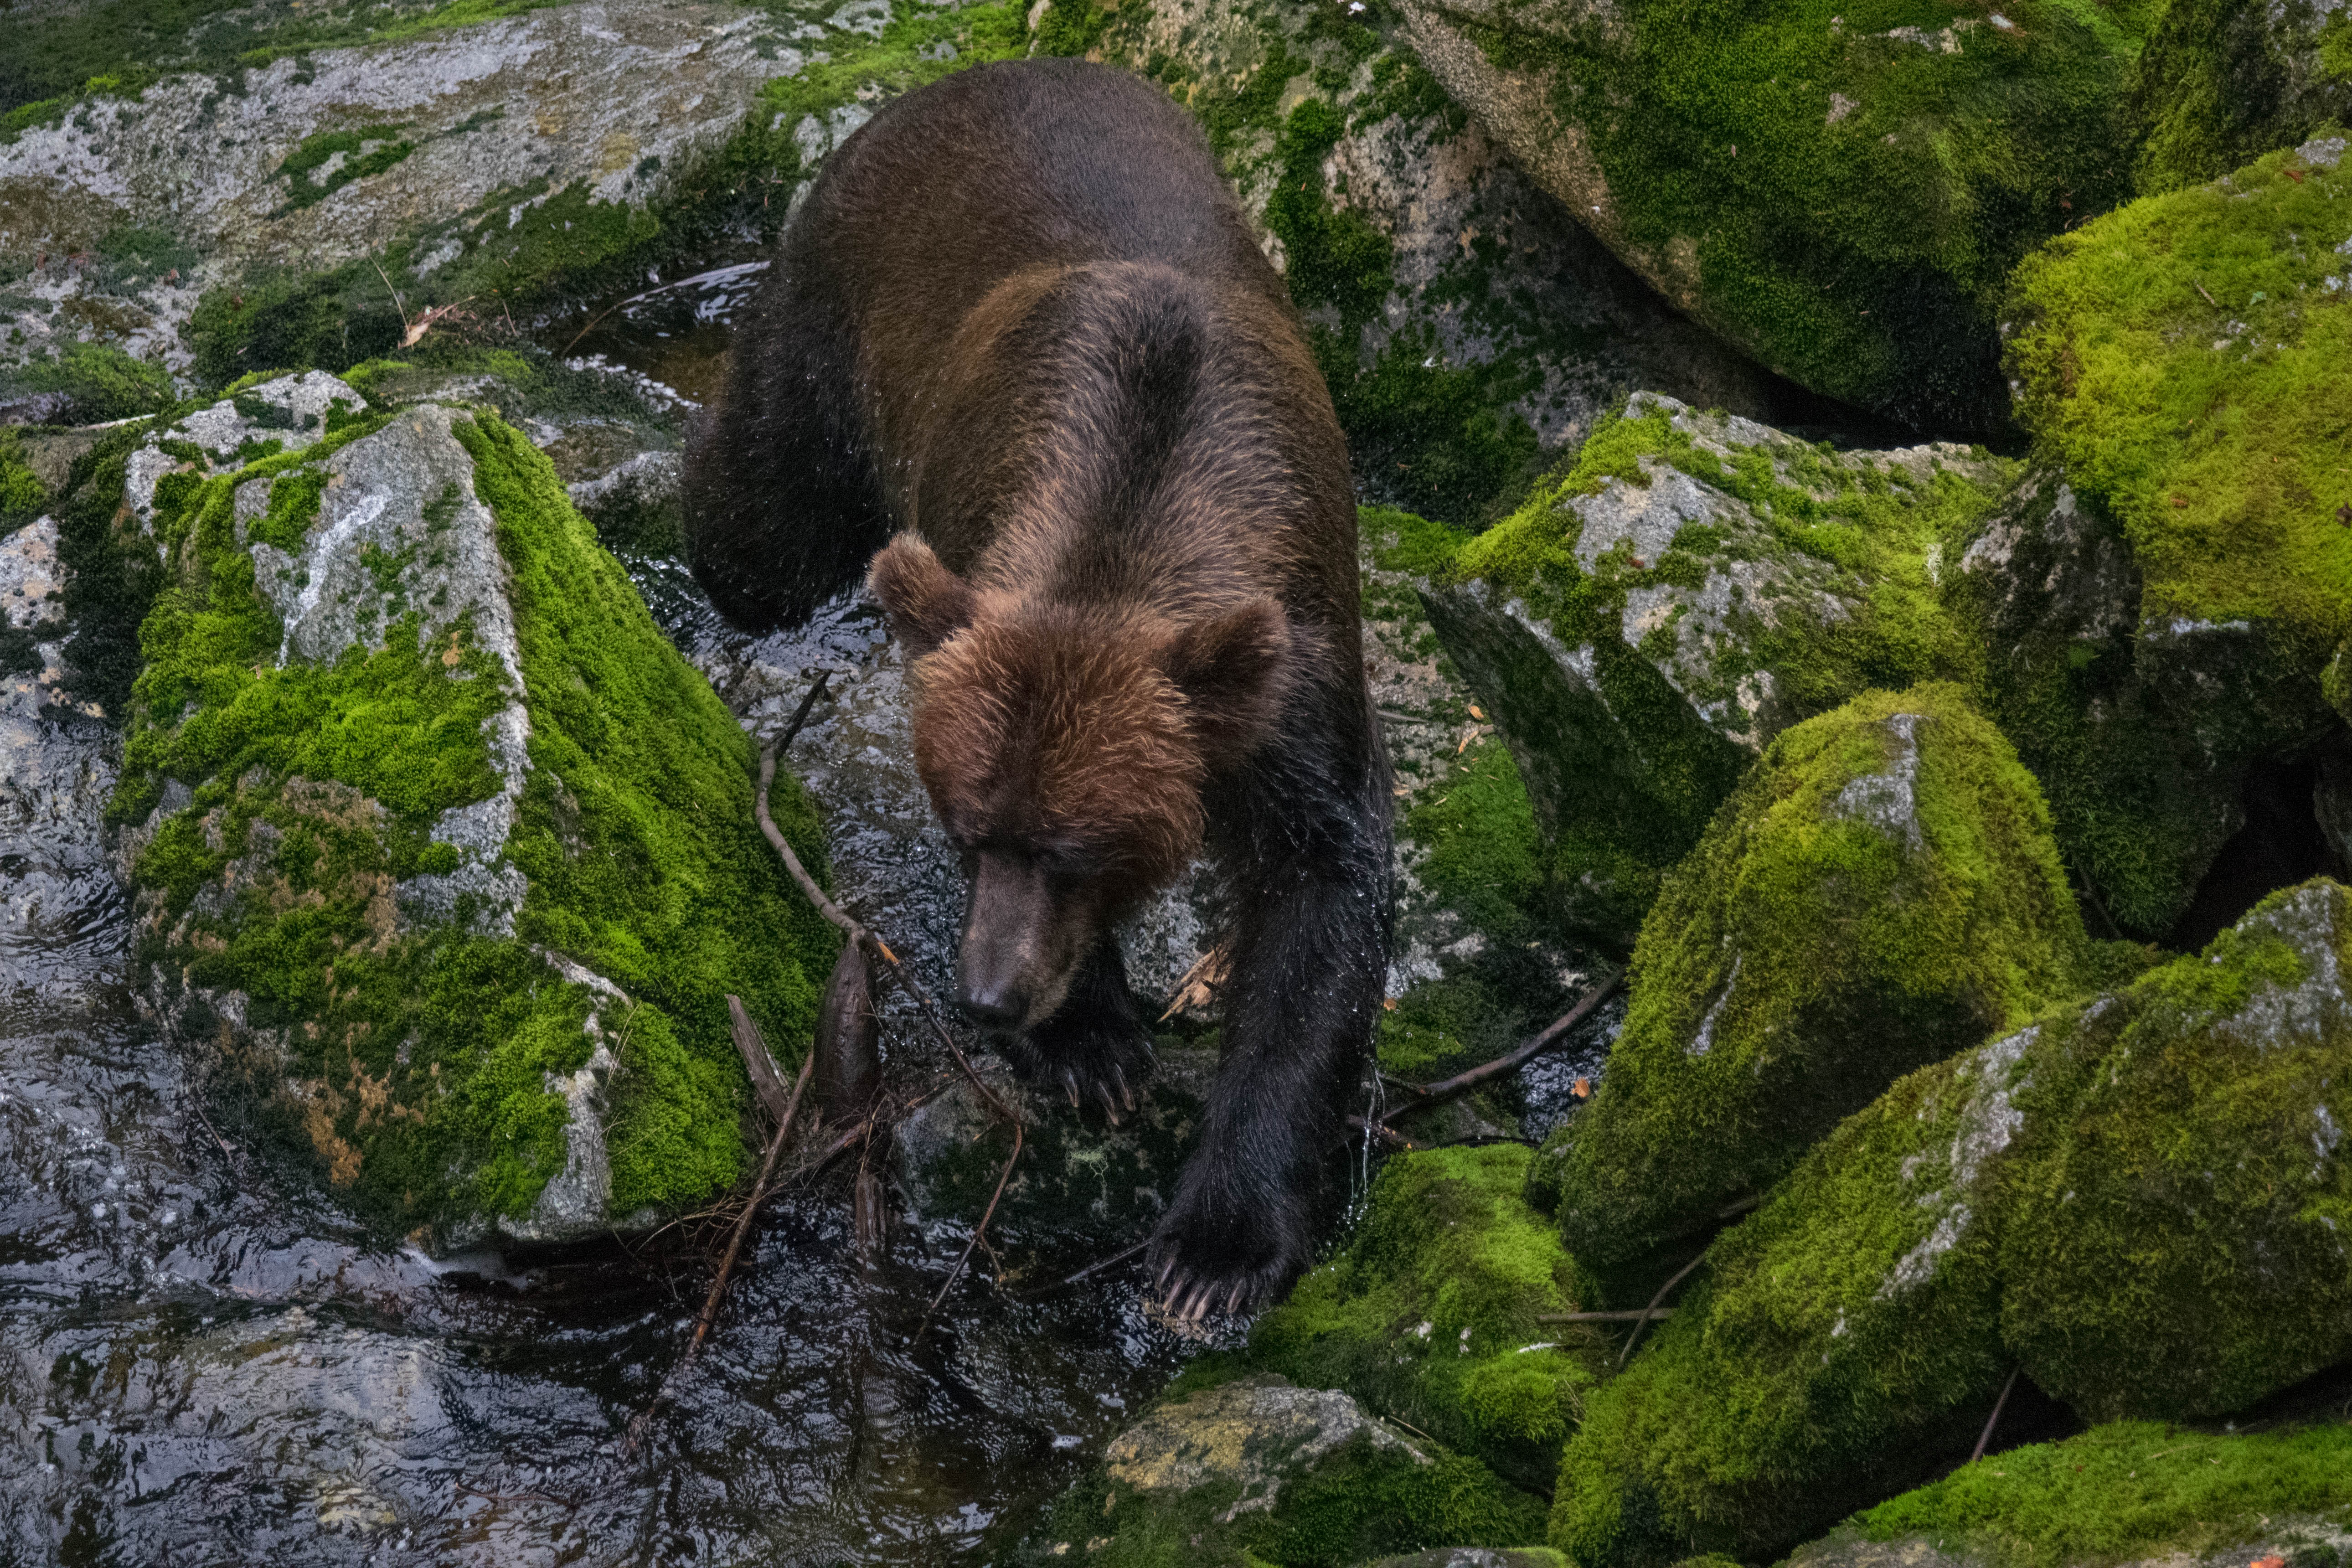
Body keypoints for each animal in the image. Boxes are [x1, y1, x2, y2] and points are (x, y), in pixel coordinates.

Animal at [682, 58, 1393, 1317]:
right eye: (972, 830)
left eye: (1077, 847)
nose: (988, 995)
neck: (1134, 512)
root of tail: (965, 76)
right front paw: (1091, 1049)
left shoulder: (1296, 686)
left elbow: (1319, 910)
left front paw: (1215, 1250)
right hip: (827, 329)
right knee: (759, 524)